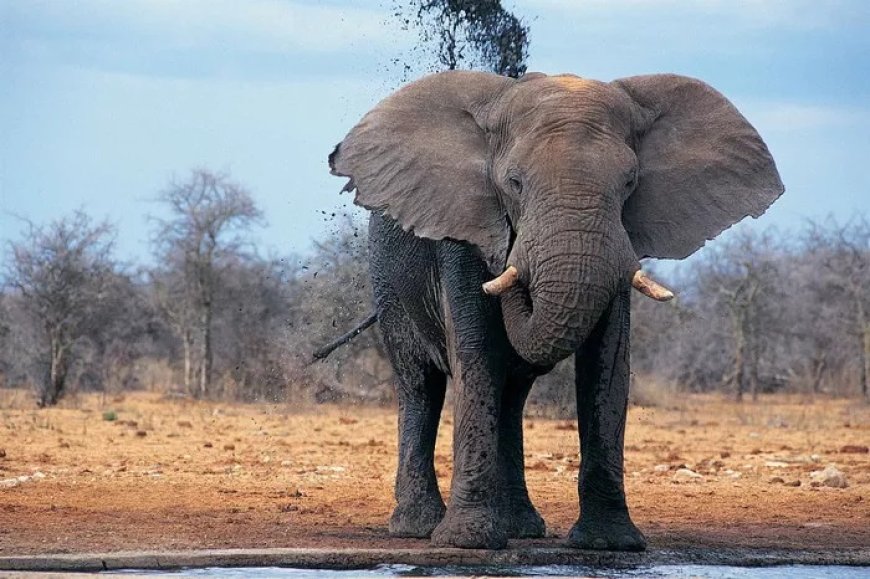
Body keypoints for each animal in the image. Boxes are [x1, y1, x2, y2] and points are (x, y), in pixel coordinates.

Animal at [327, 70, 783, 550]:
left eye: (629, 183)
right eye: (513, 183)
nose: (511, 250)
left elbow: (607, 362)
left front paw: (610, 543)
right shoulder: (462, 235)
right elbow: (476, 356)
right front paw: (468, 542)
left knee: (511, 396)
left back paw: (522, 528)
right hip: (388, 283)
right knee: (421, 386)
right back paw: (418, 527)